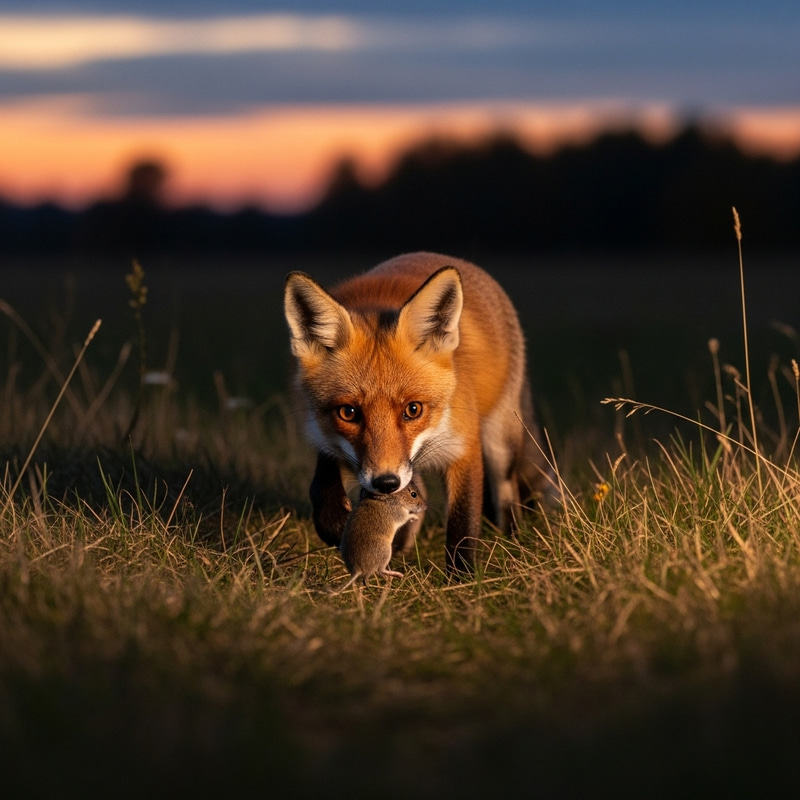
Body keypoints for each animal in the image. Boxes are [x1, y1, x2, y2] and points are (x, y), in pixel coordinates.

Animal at [283, 252, 552, 573]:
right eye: (348, 413)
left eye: (413, 409)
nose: (386, 483)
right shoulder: (328, 437)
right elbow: (321, 482)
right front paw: (335, 522)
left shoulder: (463, 446)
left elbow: (463, 524)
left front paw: (461, 577)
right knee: (419, 492)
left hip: (501, 440)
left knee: (506, 492)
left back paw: (513, 539)